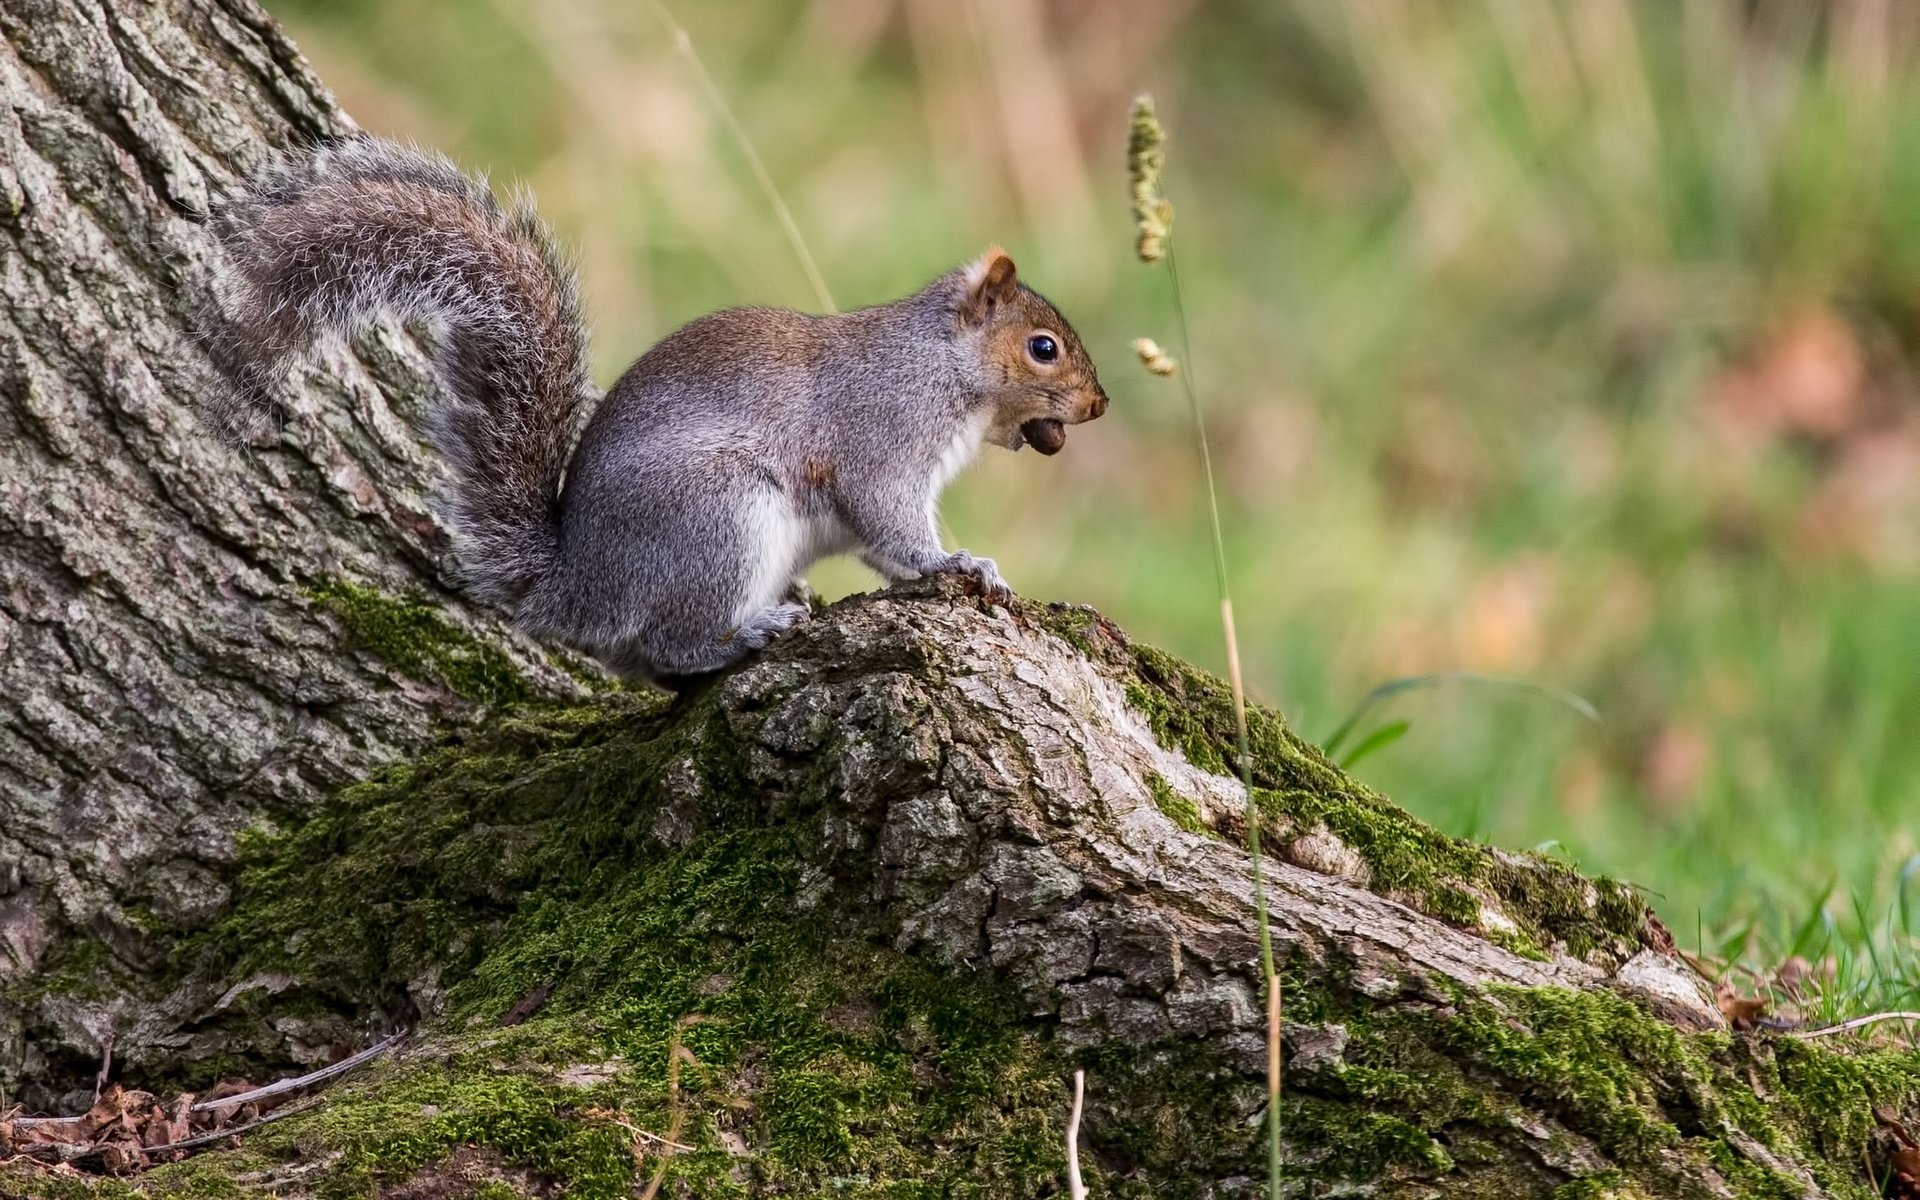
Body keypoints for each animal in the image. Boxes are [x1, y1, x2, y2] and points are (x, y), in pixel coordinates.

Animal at [206, 138, 1113, 683]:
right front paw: (957, 565)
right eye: (1043, 348)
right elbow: (890, 522)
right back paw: (744, 634)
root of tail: (574, 586)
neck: (941, 367)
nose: (1100, 403)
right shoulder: (881, 437)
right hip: (716, 518)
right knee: (667, 641)